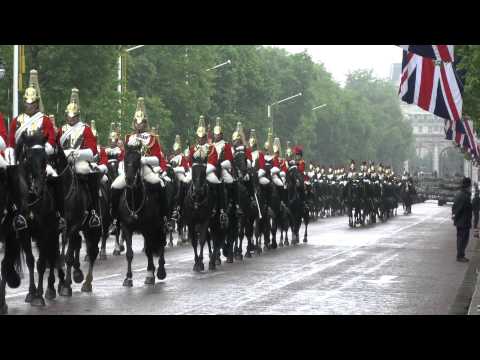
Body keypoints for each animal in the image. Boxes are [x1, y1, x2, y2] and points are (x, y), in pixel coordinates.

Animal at [116, 144, 168, 286]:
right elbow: (129, 253)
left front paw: (150, 274)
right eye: (125, 159)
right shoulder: (127, 228)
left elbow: (149, 250)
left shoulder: (148, 228)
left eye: (138, 160)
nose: (129, 179)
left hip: (160, 224)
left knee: (161, 242)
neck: (135, 203)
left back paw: (160, 271)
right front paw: (128, 278)